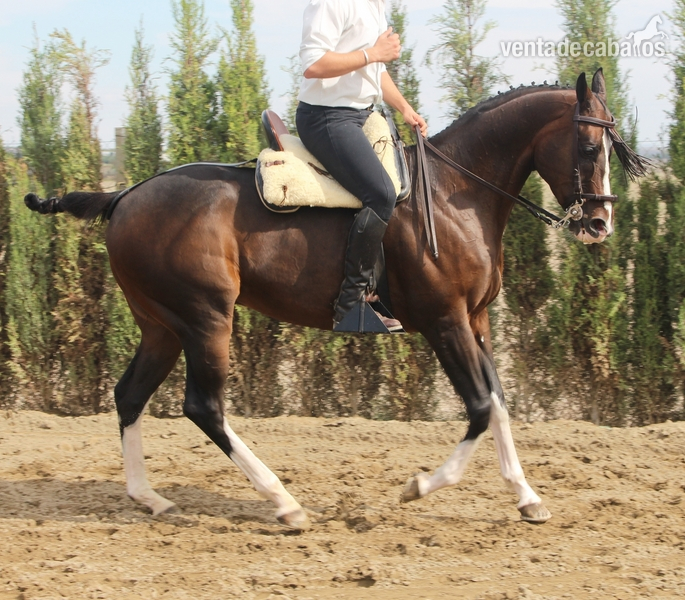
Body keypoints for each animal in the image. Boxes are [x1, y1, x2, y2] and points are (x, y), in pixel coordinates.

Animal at [25, 69, 647, 530]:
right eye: (588, 144)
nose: (600, 224)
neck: (456, 195)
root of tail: (125, 196)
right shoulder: (445, 322)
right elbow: (477, 407)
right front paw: (419, 485)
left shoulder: (477, 321)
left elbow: (497, 404)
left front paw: (526, 495)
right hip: (205, 319)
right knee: (204, 407)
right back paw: (283, 503)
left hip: (163, 326)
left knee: (129, 395)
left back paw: (148, 497)